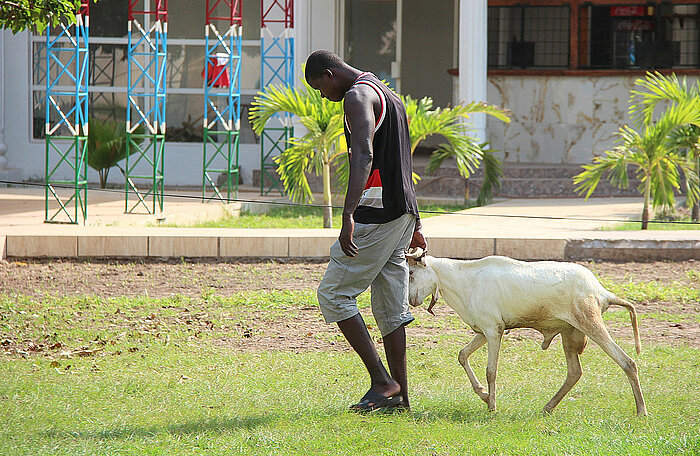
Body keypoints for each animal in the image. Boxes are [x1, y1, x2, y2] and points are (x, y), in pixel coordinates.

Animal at [408, 249, 648, 416]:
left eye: (411, 272)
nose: (410, 300)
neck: (466, 280)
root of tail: (601, 291)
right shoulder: (484, 330)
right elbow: (462, 355)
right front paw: (484, 396)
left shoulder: (494, 331)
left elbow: (491, 371)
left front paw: (492, 407)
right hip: (570, 332)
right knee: (574, 372)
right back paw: (547, 407)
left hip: (589, 321)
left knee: (627, 362)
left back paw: (641, 411)